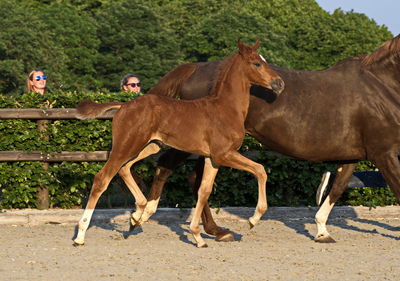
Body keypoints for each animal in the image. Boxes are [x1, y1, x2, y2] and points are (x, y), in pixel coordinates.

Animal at [72, 40, 284, 247]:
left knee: (125, 168)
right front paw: (253, 219)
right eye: (257, 63)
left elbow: (204, 191)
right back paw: (81, 235)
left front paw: (198, 236)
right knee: (102, 178)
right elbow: (260, 170)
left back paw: (138, 214)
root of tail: (123, 105)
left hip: (149, 146)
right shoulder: (224, 154)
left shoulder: (213, 159)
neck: (225, 108)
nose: (279, 83)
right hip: (126, 146)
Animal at [136, 34, 400, 241]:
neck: (380, 86)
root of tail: (195, 68)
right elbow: (395, 188)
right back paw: (147, 215)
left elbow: (337, 187)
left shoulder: (355, 154)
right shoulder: (384, 153)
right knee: (170, 167)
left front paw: (322, 231)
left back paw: (212, 230)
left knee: (194, 178)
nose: (278, 85)